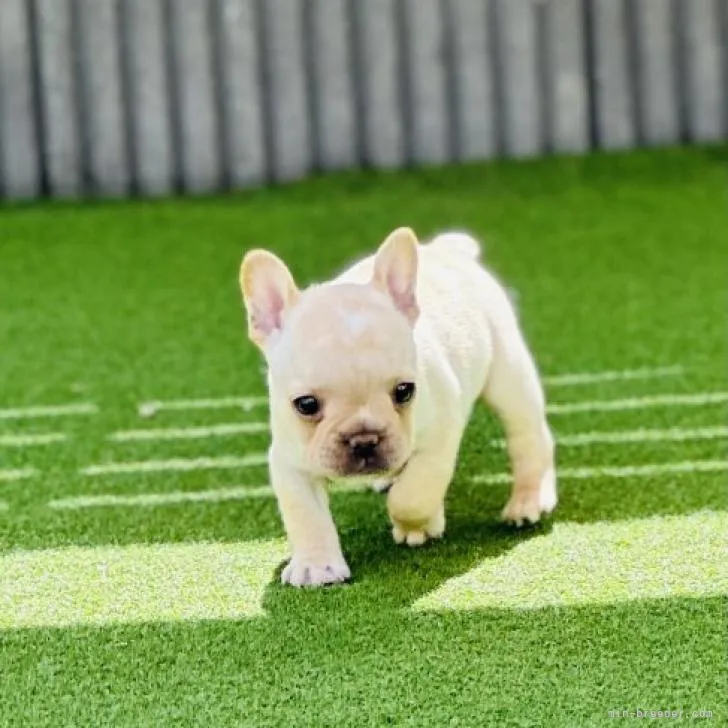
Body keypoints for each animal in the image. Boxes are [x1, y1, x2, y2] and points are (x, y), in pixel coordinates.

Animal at [240, 228, 556, 584]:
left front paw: (419, 525)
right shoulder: (289, 461)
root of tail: (449, 250)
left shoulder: (439, 437)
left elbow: (412, 495)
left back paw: (528, 501)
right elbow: (305, 515)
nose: (364, 440)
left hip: (508, 375)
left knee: (528, 436)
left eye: (404, 391)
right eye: (306, 404)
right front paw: (316, 566)